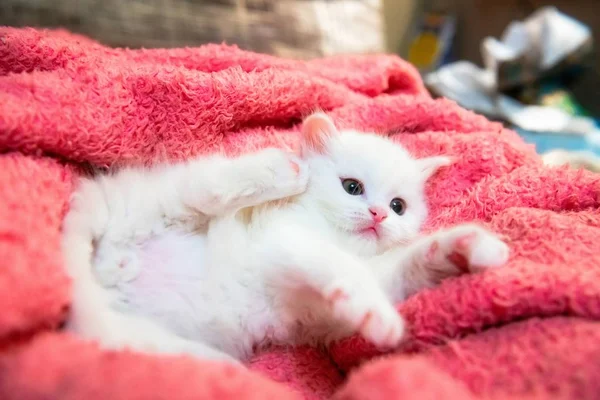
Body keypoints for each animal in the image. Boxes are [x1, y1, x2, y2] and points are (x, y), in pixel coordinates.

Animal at [63, 112, 508, 366]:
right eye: (352, 187)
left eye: (399, 207)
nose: (378, 215)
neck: (332, 234)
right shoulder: (285, 239)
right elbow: (344, 268)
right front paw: (379, 317)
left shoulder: (316, 310)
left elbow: (403, 267)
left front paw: (466, 248)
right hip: (162, 201)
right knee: (198, 193)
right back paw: (283, 170)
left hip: (135, 329)